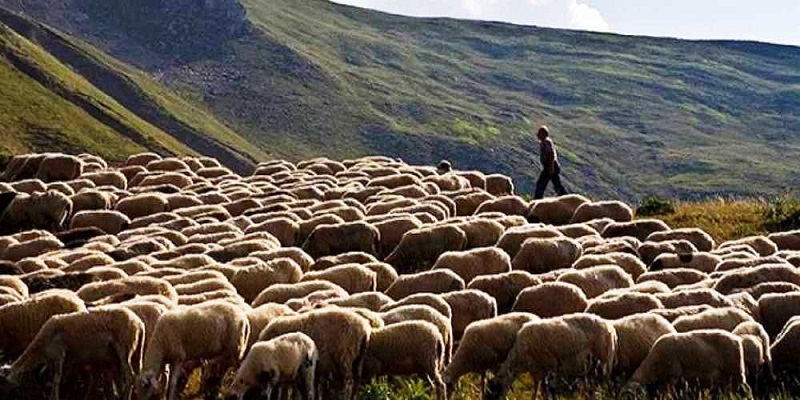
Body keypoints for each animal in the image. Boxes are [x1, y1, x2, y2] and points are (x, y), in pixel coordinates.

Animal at [1, 306, 145, 400]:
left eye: (3, 382)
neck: (40, 350)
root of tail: (139, 323)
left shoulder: (59, 354)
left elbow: (56, 379)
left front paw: (54, 397)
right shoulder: (63, 361)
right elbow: (54, 378)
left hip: (124, 347)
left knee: (130, 376)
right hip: (135, 352)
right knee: (136, 376)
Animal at [484, 314, 616, 398]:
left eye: (493, 391)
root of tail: (610, 327)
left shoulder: (548, 364)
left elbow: (545, 388)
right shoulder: (537, 369)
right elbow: (539, 387)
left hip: (603, 355)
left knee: (606, 379)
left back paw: (609, 395)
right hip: (593, 360)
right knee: (594, 379)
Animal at [624, 330, 752, 396]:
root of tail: (737, 339)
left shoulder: (673, 375)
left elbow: (669, 393)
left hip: (736, 370)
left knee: (745, 388)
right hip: (727, 376)